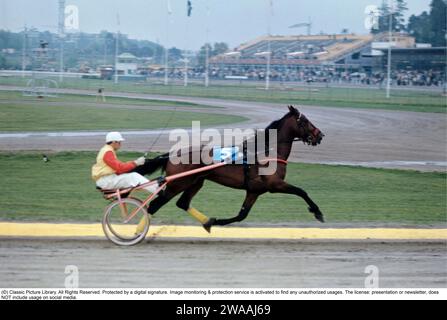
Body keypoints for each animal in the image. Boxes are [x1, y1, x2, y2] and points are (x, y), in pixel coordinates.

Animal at [136, 105, 326, 232]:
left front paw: (216, 221)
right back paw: (138, 232)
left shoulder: (254, 191)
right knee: (153, 205)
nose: (320, 135)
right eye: (306, 121)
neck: (267, 152)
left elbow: (242, 215)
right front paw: (317, 212)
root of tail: (171, 155)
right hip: (178, 183)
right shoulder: (275, 184)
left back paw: (206, 222)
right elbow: (301, 191)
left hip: (196, 182)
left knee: (182, 203)